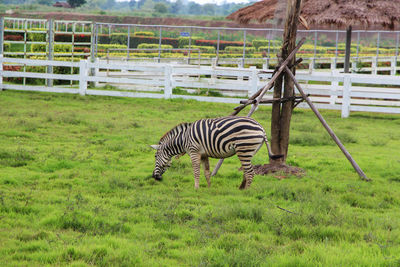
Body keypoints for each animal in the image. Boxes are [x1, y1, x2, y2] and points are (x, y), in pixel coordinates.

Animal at [150, 116, 282, 189]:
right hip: (249, 151)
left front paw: (196, 188)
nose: (154, 177)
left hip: (244, 149)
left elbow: (196, 171)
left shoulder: (194, 152)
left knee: (250, 172)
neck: (184, 139)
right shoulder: (204, 154)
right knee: (247, 170)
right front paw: (209, 188)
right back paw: (241, 188)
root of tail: (261, 128)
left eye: (155, 156)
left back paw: (246, 191)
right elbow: (207, 172)